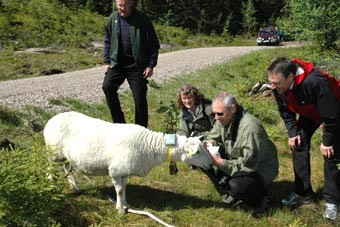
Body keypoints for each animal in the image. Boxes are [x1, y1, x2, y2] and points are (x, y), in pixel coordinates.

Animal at [43, 111, 211, 214]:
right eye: (197, 152)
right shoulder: (116, 170)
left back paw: (75, 187)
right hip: (53, 152)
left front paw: (125, 205)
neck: (149, 147)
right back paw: (50, 184)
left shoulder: (124, 171)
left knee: (67, 168)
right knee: (50, 167)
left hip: (66, 155)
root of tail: (51, 120)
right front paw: (119, 209)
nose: (210, 164)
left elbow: (124, 188)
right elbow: (119, 190)